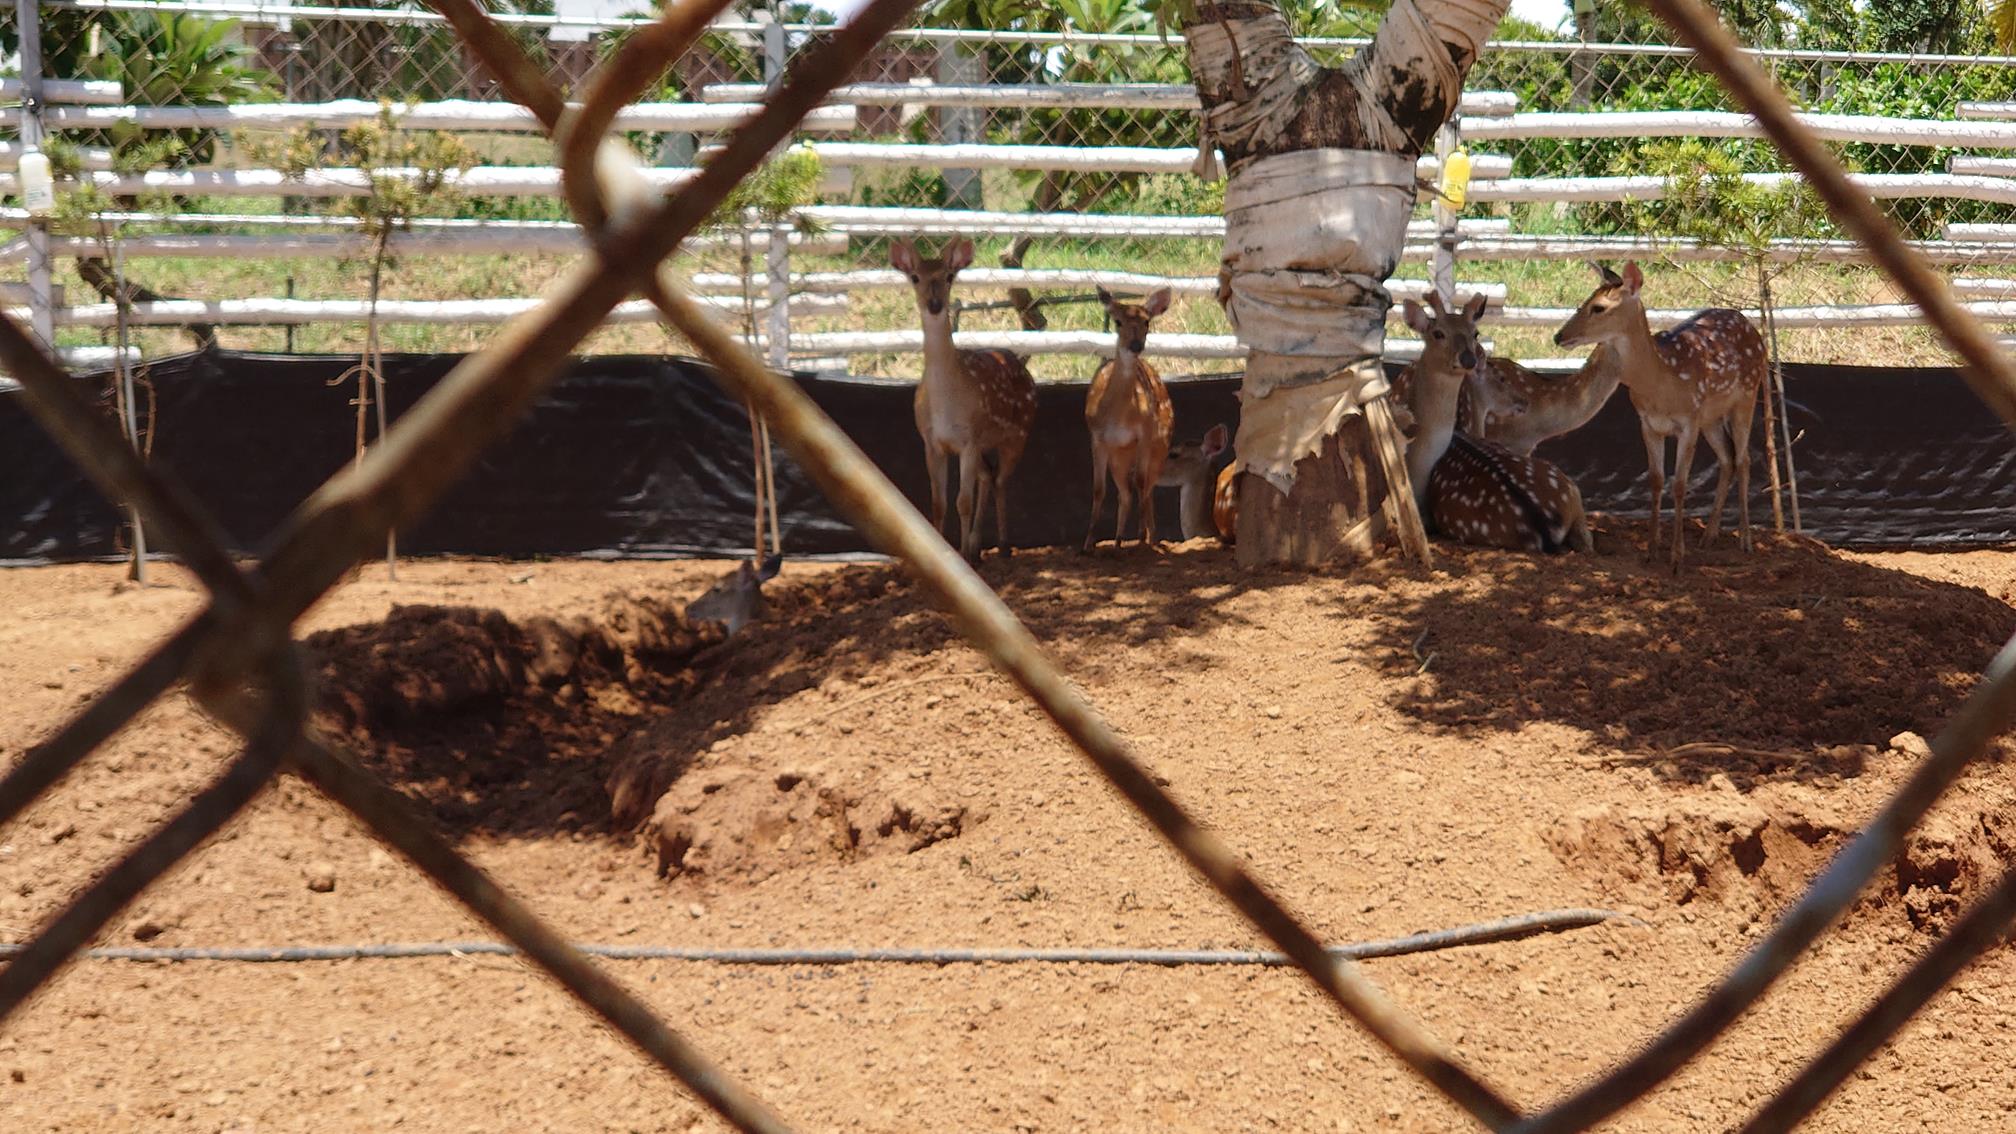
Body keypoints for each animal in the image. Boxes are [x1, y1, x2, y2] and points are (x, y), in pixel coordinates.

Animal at [891, 235, 1040, 560]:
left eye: (949, 276)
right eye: (915, 277)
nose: (935, 304)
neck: (946, 402)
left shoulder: (969, 439)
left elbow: (963, 502)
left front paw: (960, 555)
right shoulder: (932, 441)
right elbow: (938, 503)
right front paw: (943, 551)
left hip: (1018, 435)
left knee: (1000, 480)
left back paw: (1002, 546)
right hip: (987, 445)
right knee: (988, 477)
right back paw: (976, 546)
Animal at [1088, 282, 1177, 548]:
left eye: (1147, 321)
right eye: (1117, 321)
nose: (1136, 346)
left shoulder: (1144, 434)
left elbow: (1140, 482)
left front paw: (1141, 540)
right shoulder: (1096, 436)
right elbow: (1099, 489)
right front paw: (1087, 545)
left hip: (1161, 443)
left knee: (1147, 486)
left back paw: (1149, 539)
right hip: (1120, 454)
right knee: (1125, 493)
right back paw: (1118, 542)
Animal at [1556, 262, 1766, 569]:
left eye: (1599, 307)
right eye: (1582, 302)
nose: (1559, 336)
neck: (1662, 382)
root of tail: (1754, 330)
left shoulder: (1688, 421)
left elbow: (1679, 484)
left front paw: (1677, 558)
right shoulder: (1648, 423)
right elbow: (1655, 480)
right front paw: (1651, 551)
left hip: (1747, 395)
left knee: (1744, 459)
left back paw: (1746, 541)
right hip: (1711, 417)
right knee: (1727, 458)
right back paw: (1709, 536)